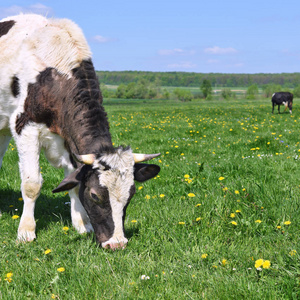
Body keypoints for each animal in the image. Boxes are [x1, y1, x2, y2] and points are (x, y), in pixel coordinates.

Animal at [0, 13, 162, 248]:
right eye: (95, 196)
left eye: (130, 195)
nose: (117, 243)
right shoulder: (25, 125)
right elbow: (32, 184)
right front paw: (26, 231)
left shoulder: (69, 141)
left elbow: (73, 181)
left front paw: (81, 224)